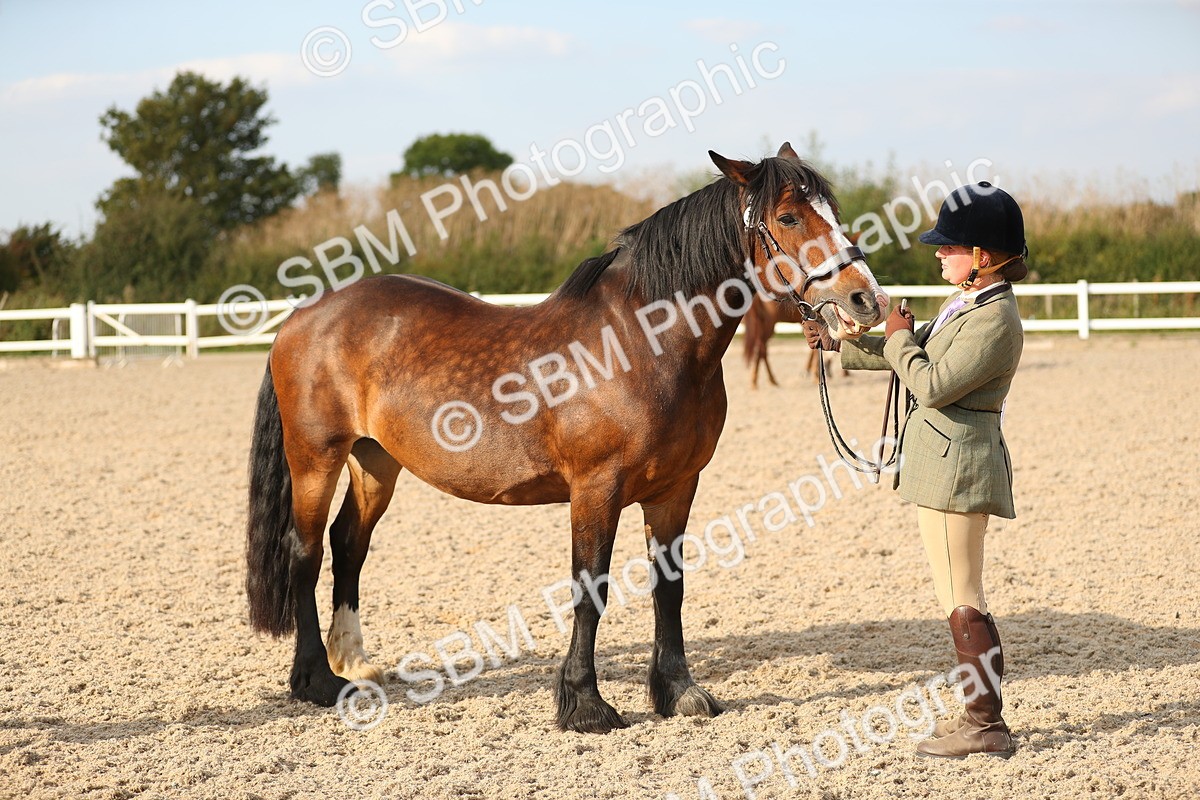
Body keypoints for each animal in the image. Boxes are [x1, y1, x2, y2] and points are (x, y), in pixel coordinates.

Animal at [244, 142, 889, 734]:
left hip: (376, 461)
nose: (867, 298)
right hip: (316, 460)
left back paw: (353, 662)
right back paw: (317, 681)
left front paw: (679, 692)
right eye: (788, 217)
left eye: (832, 208)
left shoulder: (676, 488)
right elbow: (591, 587)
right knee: (305, 552)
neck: (641, 342)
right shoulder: (596, 488)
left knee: (349, 542)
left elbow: (669, 587)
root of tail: (303, 316)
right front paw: (585, 704)